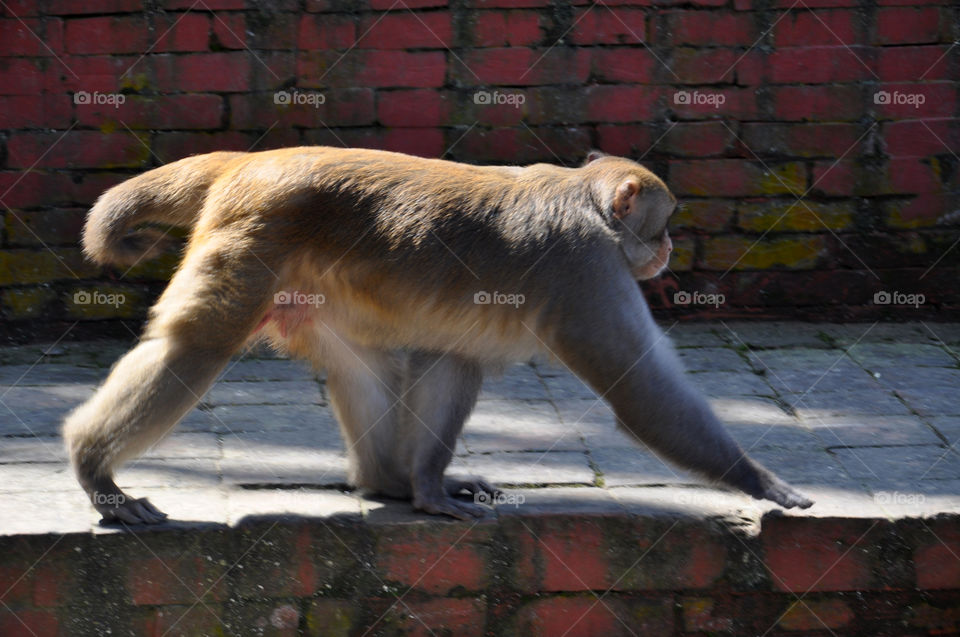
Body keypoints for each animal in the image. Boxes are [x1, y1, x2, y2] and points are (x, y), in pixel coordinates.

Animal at [63, 147, 813, 524]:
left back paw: (388, 483)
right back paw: (94, 468)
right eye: (660, 228)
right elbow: (637, 388)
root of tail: (249, 159)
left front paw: (426, 486)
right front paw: (758, 479)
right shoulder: (584, 269)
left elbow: (450, 361)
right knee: (196, 349)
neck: (588, 204)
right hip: (254, 237)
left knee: (364, 365)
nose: (667, 251)